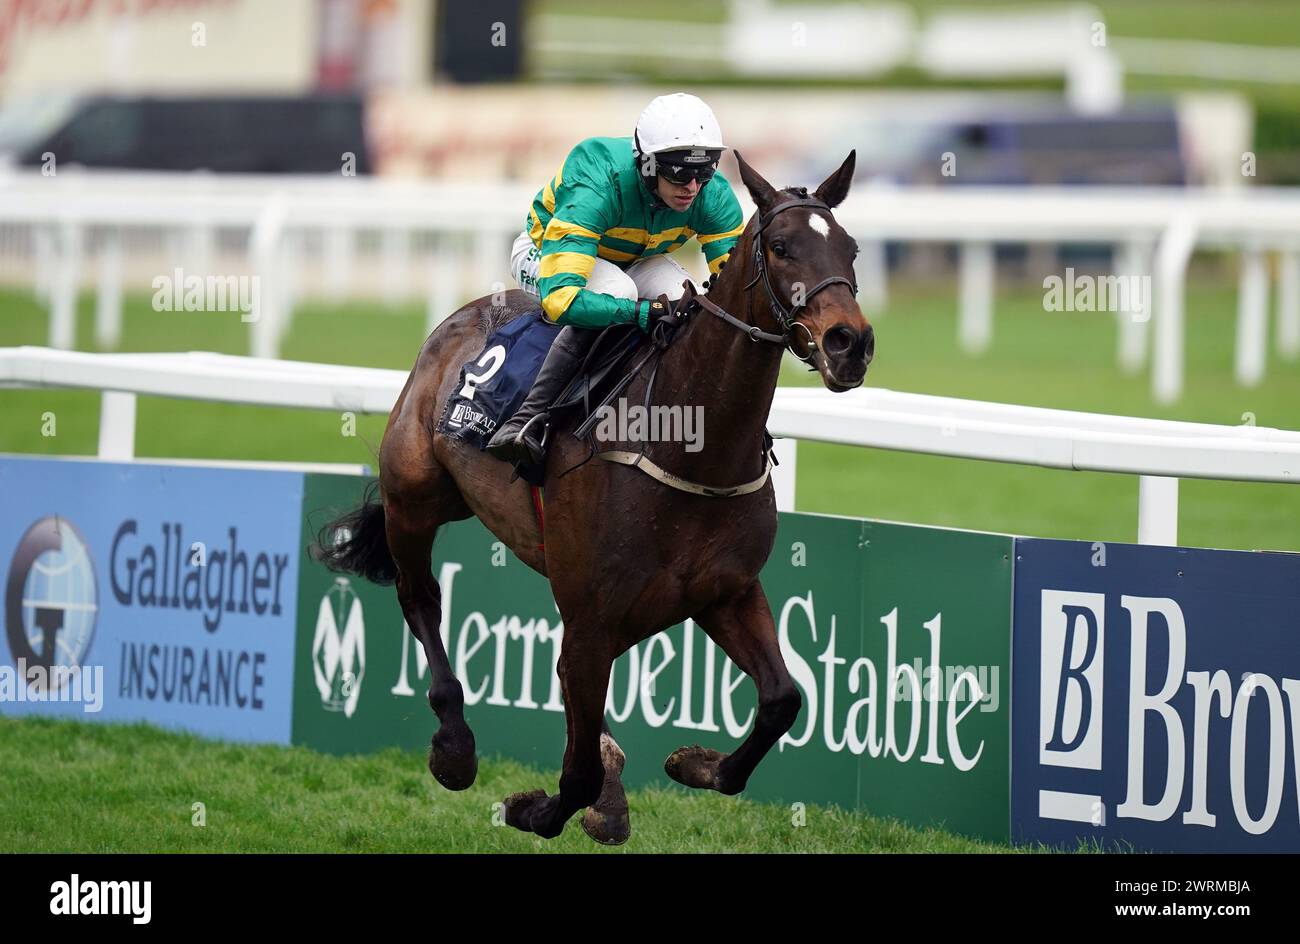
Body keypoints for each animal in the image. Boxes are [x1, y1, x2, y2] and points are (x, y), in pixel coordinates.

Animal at [317, 151, 873, 847]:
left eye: (852, 249)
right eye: (780, 247)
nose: (850, 344)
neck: (691, 443)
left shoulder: (724, 592)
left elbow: (782, 699)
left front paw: (694, 764)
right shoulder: (594, 617)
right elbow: (575, 766)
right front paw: (534, 809)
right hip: (413, 499)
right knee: (420, 599)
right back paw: (455, 747)